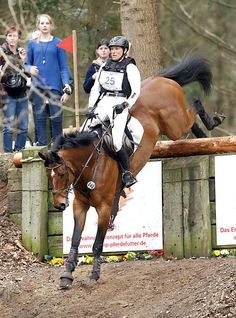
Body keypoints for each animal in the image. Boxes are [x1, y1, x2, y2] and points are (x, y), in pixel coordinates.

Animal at [38, 54, 223, 288]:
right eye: (48, 176)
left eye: (61, 174)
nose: (59, 205)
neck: (90, 163)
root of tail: (159, 79)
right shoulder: (80, 206)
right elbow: (76, 240)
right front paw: (67, 273)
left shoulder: (105, 208)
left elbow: (97, 244)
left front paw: (94, 275)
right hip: (174, 127)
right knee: (191, 121)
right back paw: (202, 138)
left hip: (174, 124)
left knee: (195, 105)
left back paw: (212, 122)